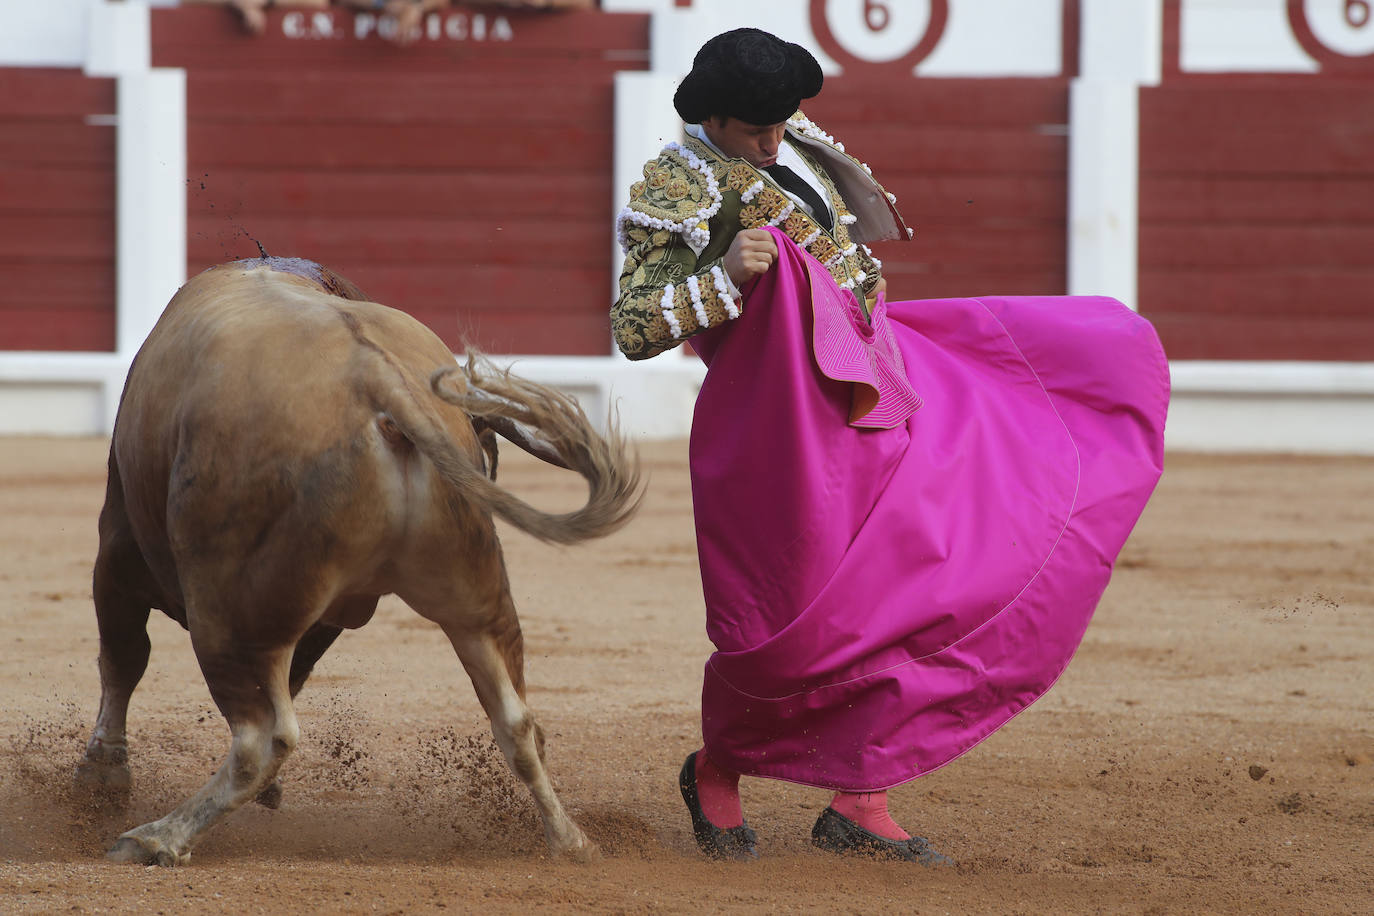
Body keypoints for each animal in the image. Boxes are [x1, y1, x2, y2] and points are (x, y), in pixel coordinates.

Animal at [77, 258, 645, 867]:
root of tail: (377, 378)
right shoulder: (337, 612)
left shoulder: (117, 552)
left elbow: (123, 659)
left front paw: (101, 773)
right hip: (473, 595)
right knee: (515, 720)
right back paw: (570, 841)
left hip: (227, 612)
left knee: (262, 736)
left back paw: (156, 837)